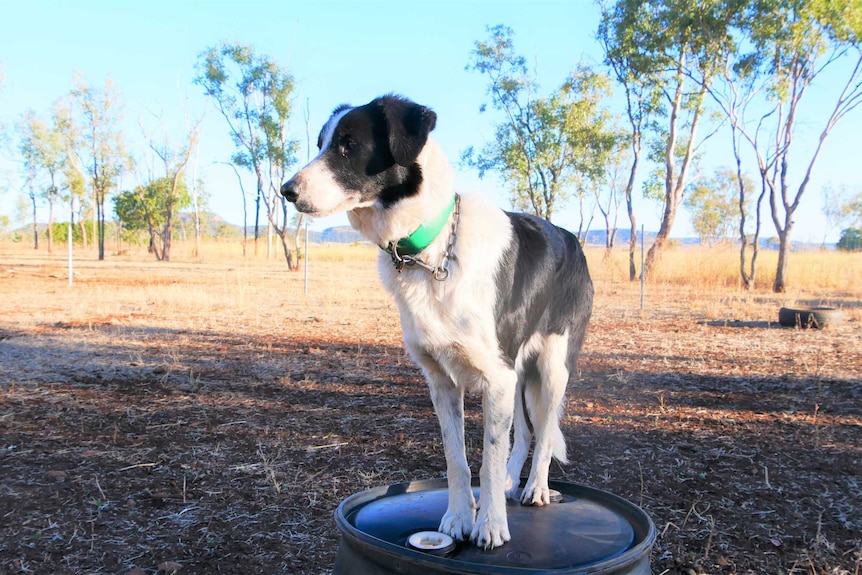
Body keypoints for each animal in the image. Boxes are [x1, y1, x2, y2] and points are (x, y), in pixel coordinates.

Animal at [284, 94, 592, 548]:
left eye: (348, 144)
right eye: (321, 143)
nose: (286, 190)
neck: (432, 247)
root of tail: (572, 238)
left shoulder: (496, 377)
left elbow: (488, 457)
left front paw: (490, 526)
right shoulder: (443, 380)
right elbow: (458, 459)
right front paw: (460, 517)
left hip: (554, 365)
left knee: (546, 428)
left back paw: (535, 487)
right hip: (518, 370)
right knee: (522, 432)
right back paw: (509, 483)